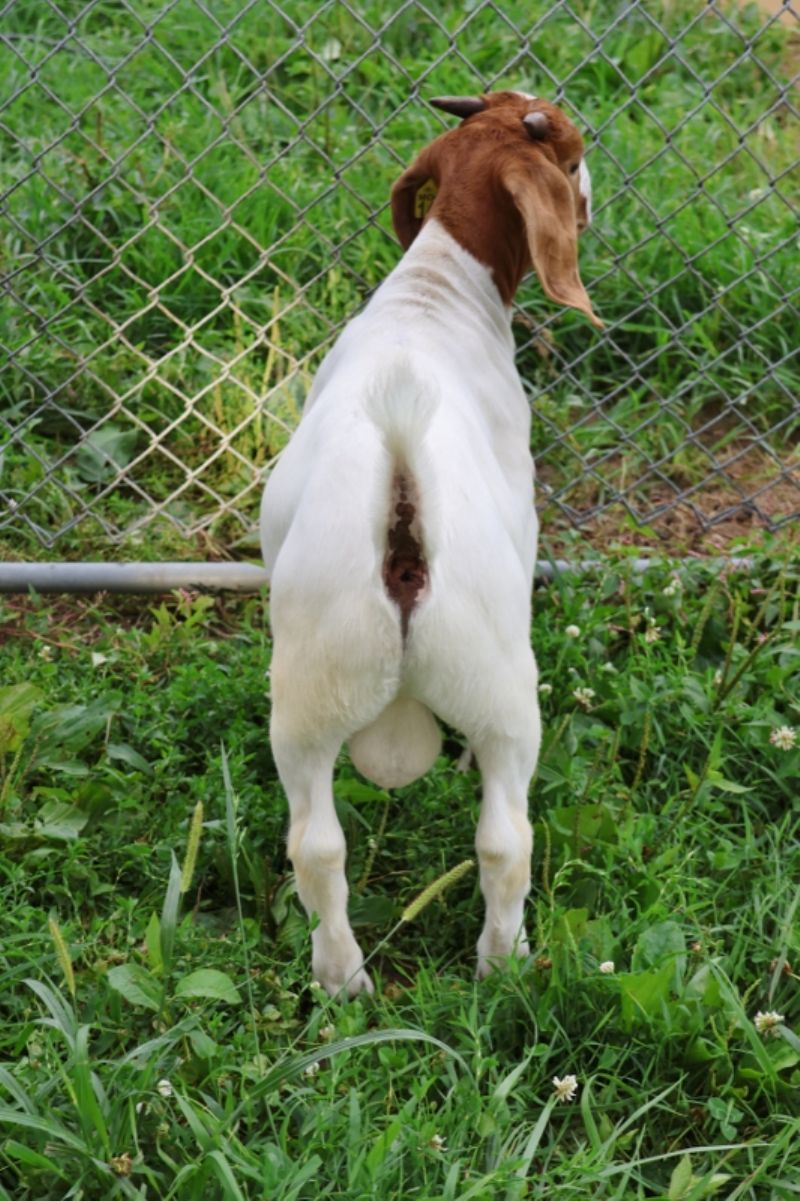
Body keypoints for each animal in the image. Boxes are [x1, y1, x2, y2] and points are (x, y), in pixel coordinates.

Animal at [260, 91, 601, 996]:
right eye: (570, 152)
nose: (593, 194)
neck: (433, 292)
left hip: (309, 688)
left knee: (316, 845)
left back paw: (341, 978)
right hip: (505, 691)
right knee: (506, 837)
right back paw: (504, 963)